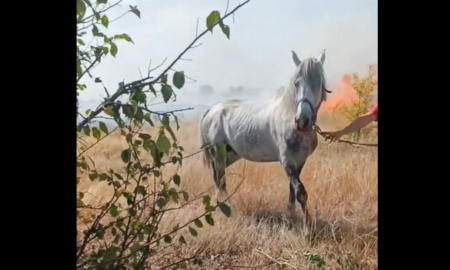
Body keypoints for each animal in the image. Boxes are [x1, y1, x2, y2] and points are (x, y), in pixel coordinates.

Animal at [199, 50, 328, 221]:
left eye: (318, 83)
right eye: (296, 84)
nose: (302, 120)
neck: (287, 116)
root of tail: (211, 110)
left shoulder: (300, 161)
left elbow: (292, 189)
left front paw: (292, 214)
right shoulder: (286, 161)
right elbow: (300, 191)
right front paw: (308, 223)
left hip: (230, 155)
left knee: (217, 178)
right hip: (218, 154)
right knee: (220, 180)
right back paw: (227, 207)